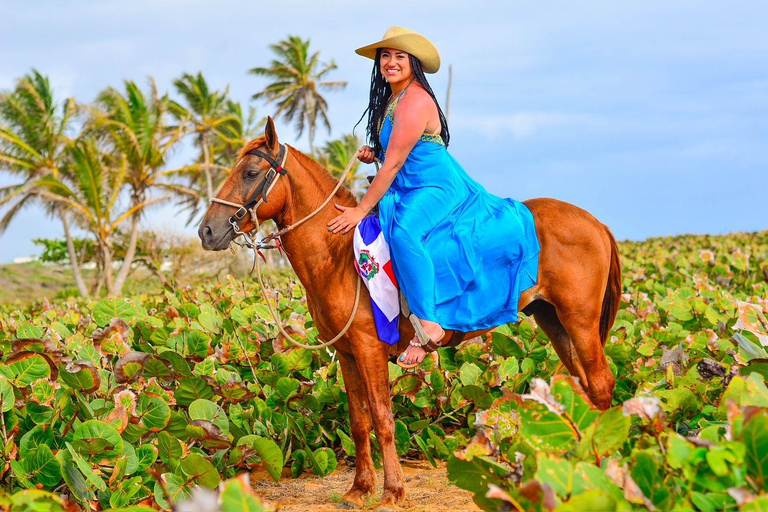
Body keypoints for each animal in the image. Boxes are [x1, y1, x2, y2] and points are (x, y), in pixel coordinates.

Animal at [198, 119, 616, 508]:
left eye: (251, 172)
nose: (207, 231)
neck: (338, 256)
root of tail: (596, 222)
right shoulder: (348, 354)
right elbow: (358, 421)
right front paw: (360, 489)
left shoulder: (369, 350)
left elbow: (383, 419)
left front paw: (392, 490)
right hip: (554, 322)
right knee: (581, 388)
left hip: (579, 322)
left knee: (600, 383)